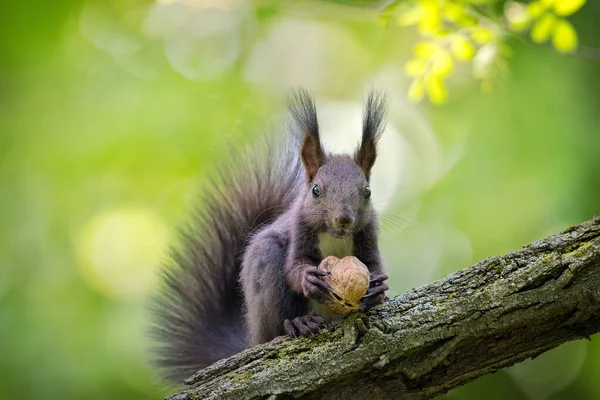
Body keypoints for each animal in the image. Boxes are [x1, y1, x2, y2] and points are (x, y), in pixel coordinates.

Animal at [152, 89, 392, 382]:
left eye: (367, 192)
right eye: (316, 190)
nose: (343, 220)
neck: (334, 236)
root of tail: (254, 337)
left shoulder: (368, 234)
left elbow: (373, 263)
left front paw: (378, 289)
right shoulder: (299, 230)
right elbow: (294, 267)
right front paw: (308, 279)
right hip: (267, 268)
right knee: (277, 323)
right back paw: (298, 323)